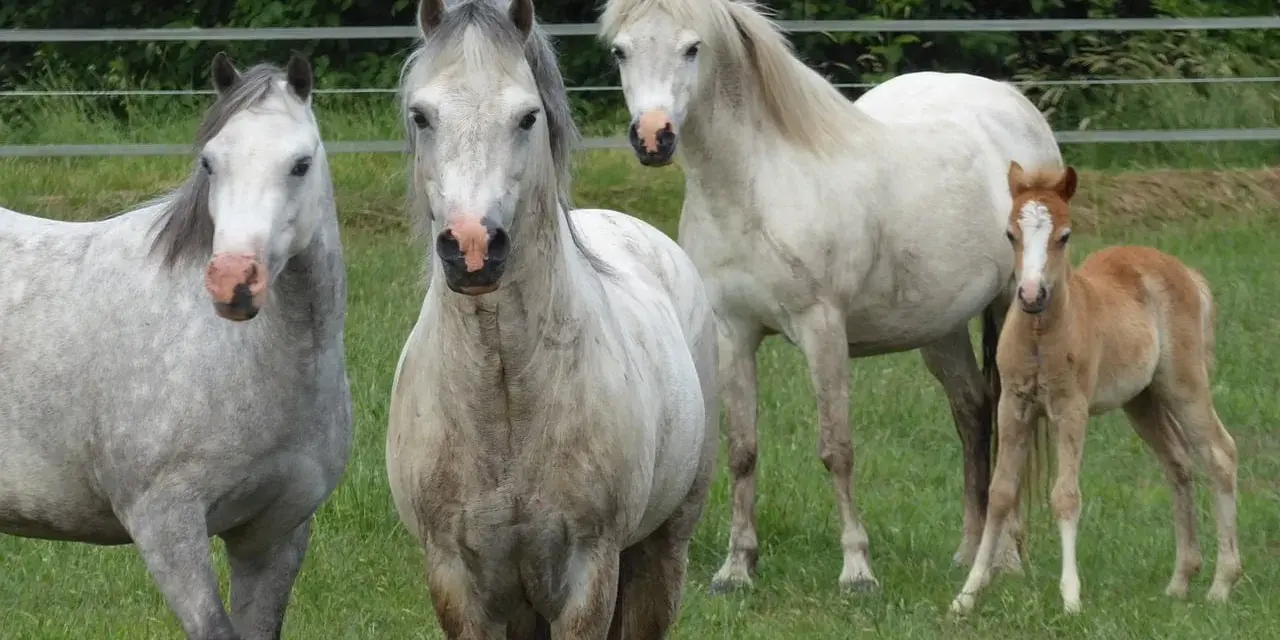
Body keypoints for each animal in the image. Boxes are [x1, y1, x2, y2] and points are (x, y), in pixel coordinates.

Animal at [384, 0, 718, 637]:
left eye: (526, 117)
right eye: (421, 116)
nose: (471, 247)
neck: (505, 402)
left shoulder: (588, 572)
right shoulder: (455, 579)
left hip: (662, 552)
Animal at [598, 0, 1064, 591]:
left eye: (692, 48)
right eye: (620, 51)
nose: (652, 137)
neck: (758, 185)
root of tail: (1016, 108)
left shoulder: (822, 329)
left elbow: (836, 448)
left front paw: (857, 569)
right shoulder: (733, 332)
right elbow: (743, 450)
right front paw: (737, 567)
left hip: (1012, 305)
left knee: (1011, 416)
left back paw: (1006, 557)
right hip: (941, 327)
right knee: (973, 409)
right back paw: (968, 550)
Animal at [949, 163, 1242, 616]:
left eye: (1064, 235)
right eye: (1010, 234)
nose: (1030, 294)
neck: (1040, 335)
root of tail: (1184, 272)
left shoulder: (1071, 409)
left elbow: (1066, 496)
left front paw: (1071, 598)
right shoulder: (1013, 406)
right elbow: (999, 494)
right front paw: (967, 595)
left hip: (1184, 384)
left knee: (1219, 454)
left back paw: (1221, 584)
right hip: (1141, 399)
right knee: (1177, 463)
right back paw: (1179, 581)